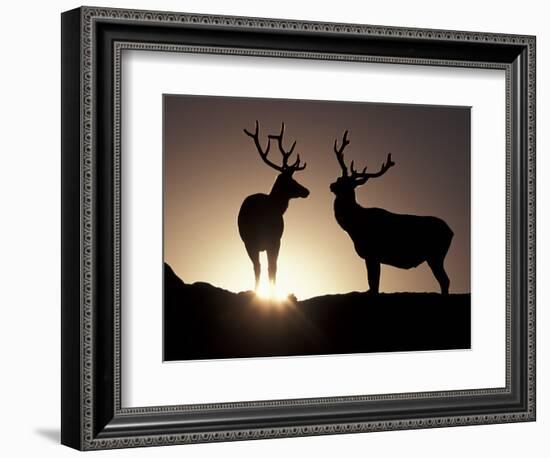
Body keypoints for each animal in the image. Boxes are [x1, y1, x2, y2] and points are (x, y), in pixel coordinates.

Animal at [240, 121, 312, 292]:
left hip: (252, 242)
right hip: (259, 241)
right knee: (264, 267)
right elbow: (273, 267)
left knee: (258, 267)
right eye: (291, 181)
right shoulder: (276, 240)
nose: (306, 191)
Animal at [330, 130, 454, 294]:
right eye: (339, 178)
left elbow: (373, 284)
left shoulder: (373, 253)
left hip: (436, 254)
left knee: (445, 280)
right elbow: (373, 284)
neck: (354, 227)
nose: (332, 185)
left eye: (349, 184)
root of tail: (451, 232)